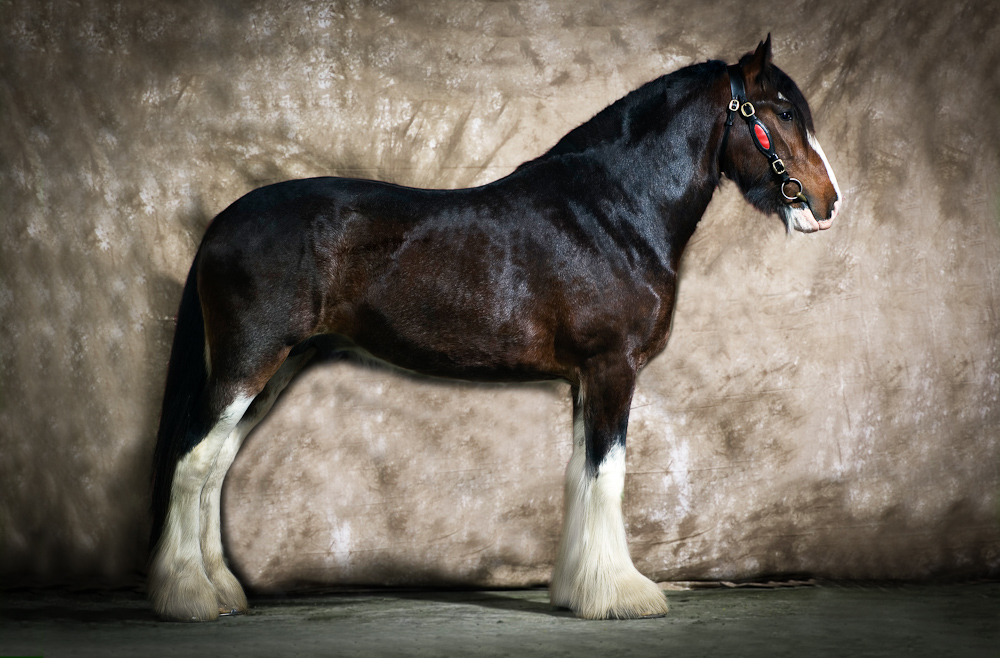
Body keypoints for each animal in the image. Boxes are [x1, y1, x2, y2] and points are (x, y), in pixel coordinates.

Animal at [148, 36, 841, 621]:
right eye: (780, 111)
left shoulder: (584, 380)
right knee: (194, 458)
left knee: (216, 465)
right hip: (248, 362)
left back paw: (221, 589)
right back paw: (189, 597)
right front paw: (621, 595)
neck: (613, 211)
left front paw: (575, 591)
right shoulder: (612, 368)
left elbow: (580, 474)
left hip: (275, 369)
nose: (827, 201)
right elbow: (608, 474)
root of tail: (222, 223)